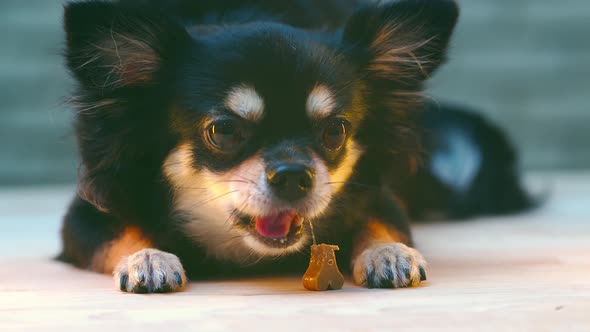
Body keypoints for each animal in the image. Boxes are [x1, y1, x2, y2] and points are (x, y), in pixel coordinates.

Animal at [59, 0, 532, 292]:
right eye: (223, 131)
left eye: (335, 131)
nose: (293, 176)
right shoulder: (87, 213)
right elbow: (120, 231)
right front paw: (148, 258)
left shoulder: (378, 194)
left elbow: (382, 221)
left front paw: (388, 252)